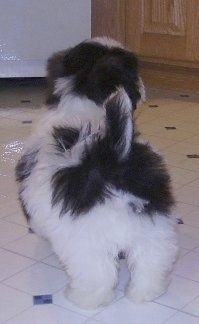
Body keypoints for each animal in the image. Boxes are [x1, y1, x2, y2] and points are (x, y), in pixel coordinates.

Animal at [15, 37, 177, 308]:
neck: (86, 104)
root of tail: (112, 156)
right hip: (152, 221)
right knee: (152, 256)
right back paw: (146, 292)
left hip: (84, 235)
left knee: (95, 270)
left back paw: (88, 298)